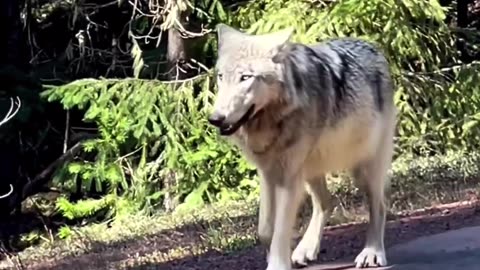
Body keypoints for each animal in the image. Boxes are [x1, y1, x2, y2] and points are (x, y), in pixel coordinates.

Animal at [208, 23, 396, 270]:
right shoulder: (268, 173)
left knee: (379, 205)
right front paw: (282, 255)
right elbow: (266, 230)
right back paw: (305, 250)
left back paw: (372, 253)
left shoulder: (288, 177)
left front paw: (278, 264)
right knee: (327, 202)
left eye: (245, 77)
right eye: (221, 76)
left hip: (362, 169)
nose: (215, 118)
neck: (274, 119)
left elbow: (280, 230)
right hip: (311, 170)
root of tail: (374, 48)